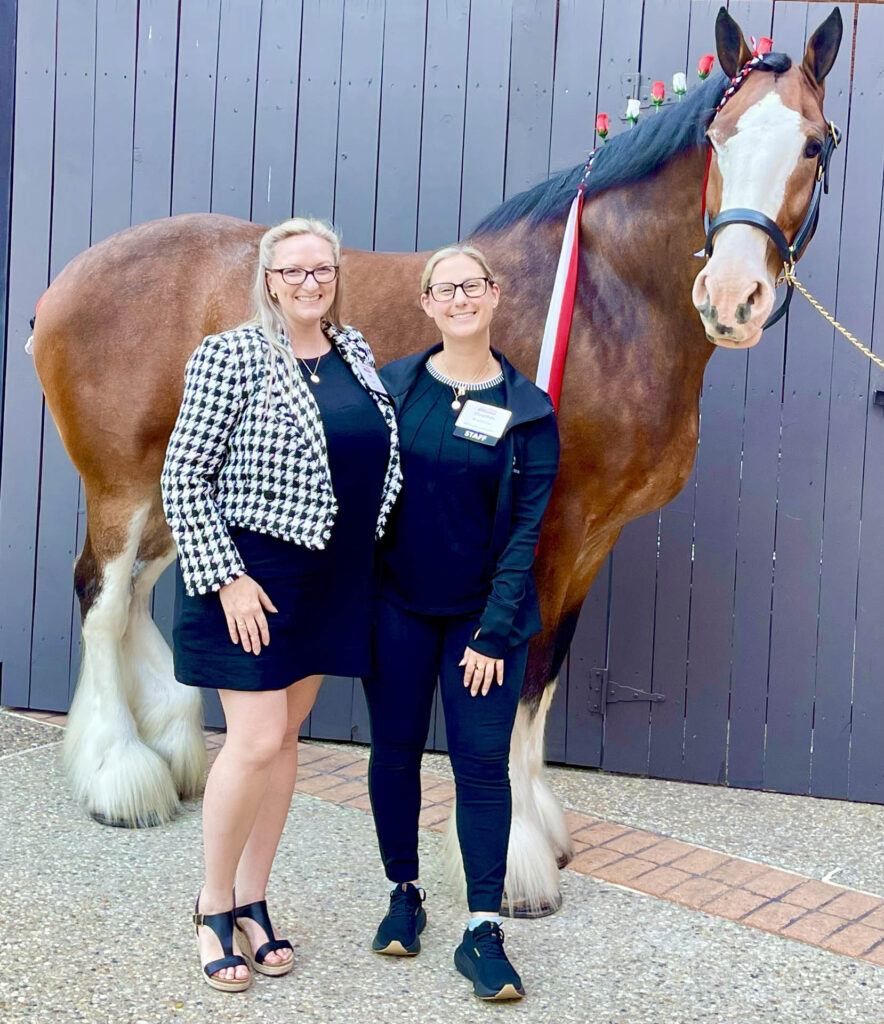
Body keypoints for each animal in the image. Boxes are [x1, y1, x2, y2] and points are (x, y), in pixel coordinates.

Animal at [31, 7, 842, 915]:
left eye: (814, 144)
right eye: (717, 138)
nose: (733, 300)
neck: (609, 300)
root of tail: (70, 280)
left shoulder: (595, 538)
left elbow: (546, 673)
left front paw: (540, 831)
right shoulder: (551, 530)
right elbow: (519, 676)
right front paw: (514, 860)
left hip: (180, 486)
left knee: (134, 592)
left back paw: (168, 754)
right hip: (123, 482)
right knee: (102, 599)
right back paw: (118, 778)